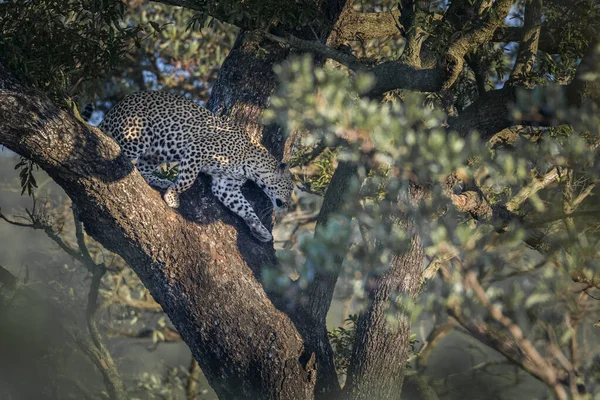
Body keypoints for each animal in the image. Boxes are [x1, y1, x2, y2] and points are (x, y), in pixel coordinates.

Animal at [91, 90, 292, 242]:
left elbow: (246, 208)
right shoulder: (197, 150)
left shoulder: (226, 186)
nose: (288, 206)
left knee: (142, 169)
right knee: (121, 156)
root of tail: (114, 110)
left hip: (158, 152)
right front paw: (172, 197)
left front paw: (260, 229)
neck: (251, 165)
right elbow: (187, 180)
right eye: (289, 189)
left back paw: (161, 181)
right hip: (138, 136)